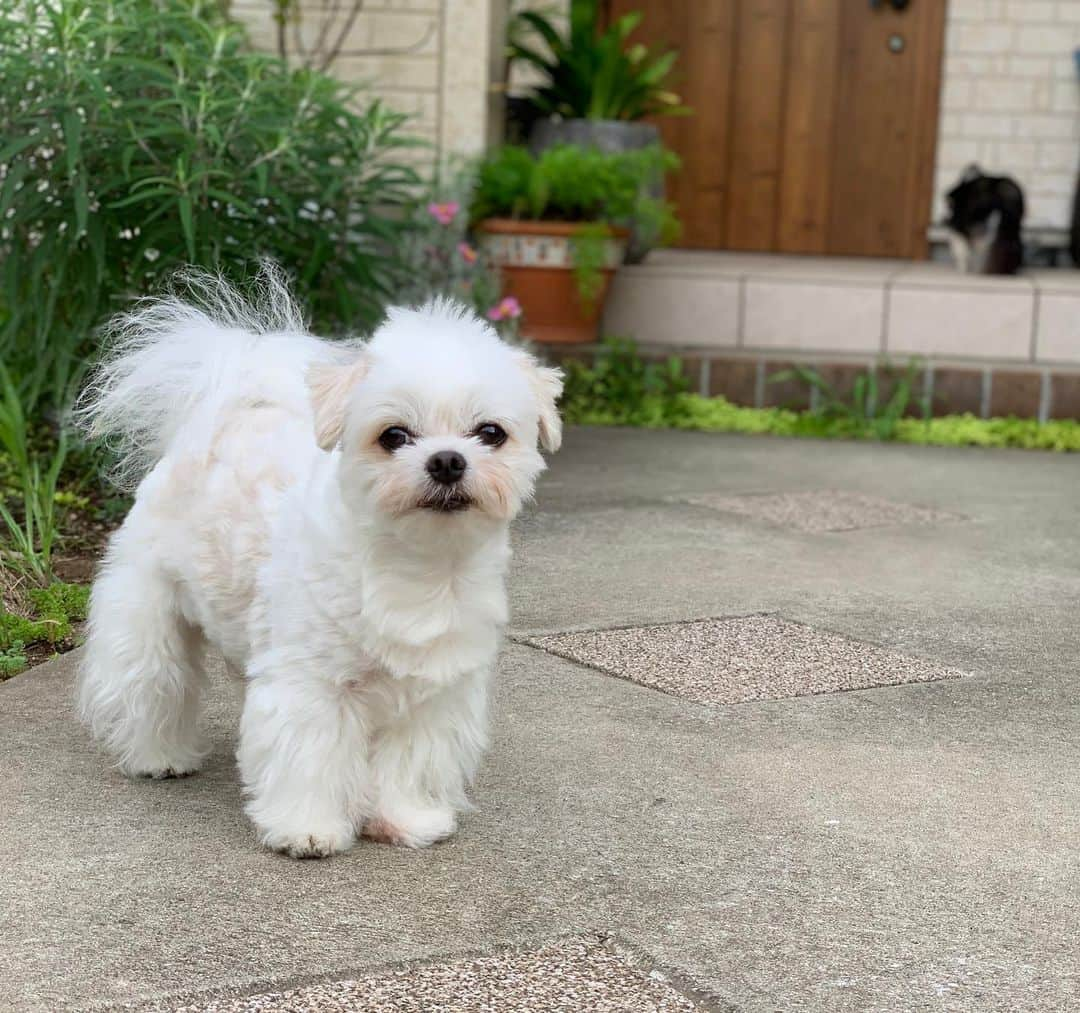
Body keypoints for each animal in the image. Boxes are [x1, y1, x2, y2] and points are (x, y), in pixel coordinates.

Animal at [73, 266, 565, 851]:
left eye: (491, 432)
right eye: (393, 435)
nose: (447, 460)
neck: (414, 567)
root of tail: (222, 411)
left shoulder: (434, 694)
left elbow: (407, 761)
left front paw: (403, 818)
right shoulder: (310, 684)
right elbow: (309, 754)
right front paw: (306, 828)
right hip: (148, 611)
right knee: (153, 682)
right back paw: (159, 755)